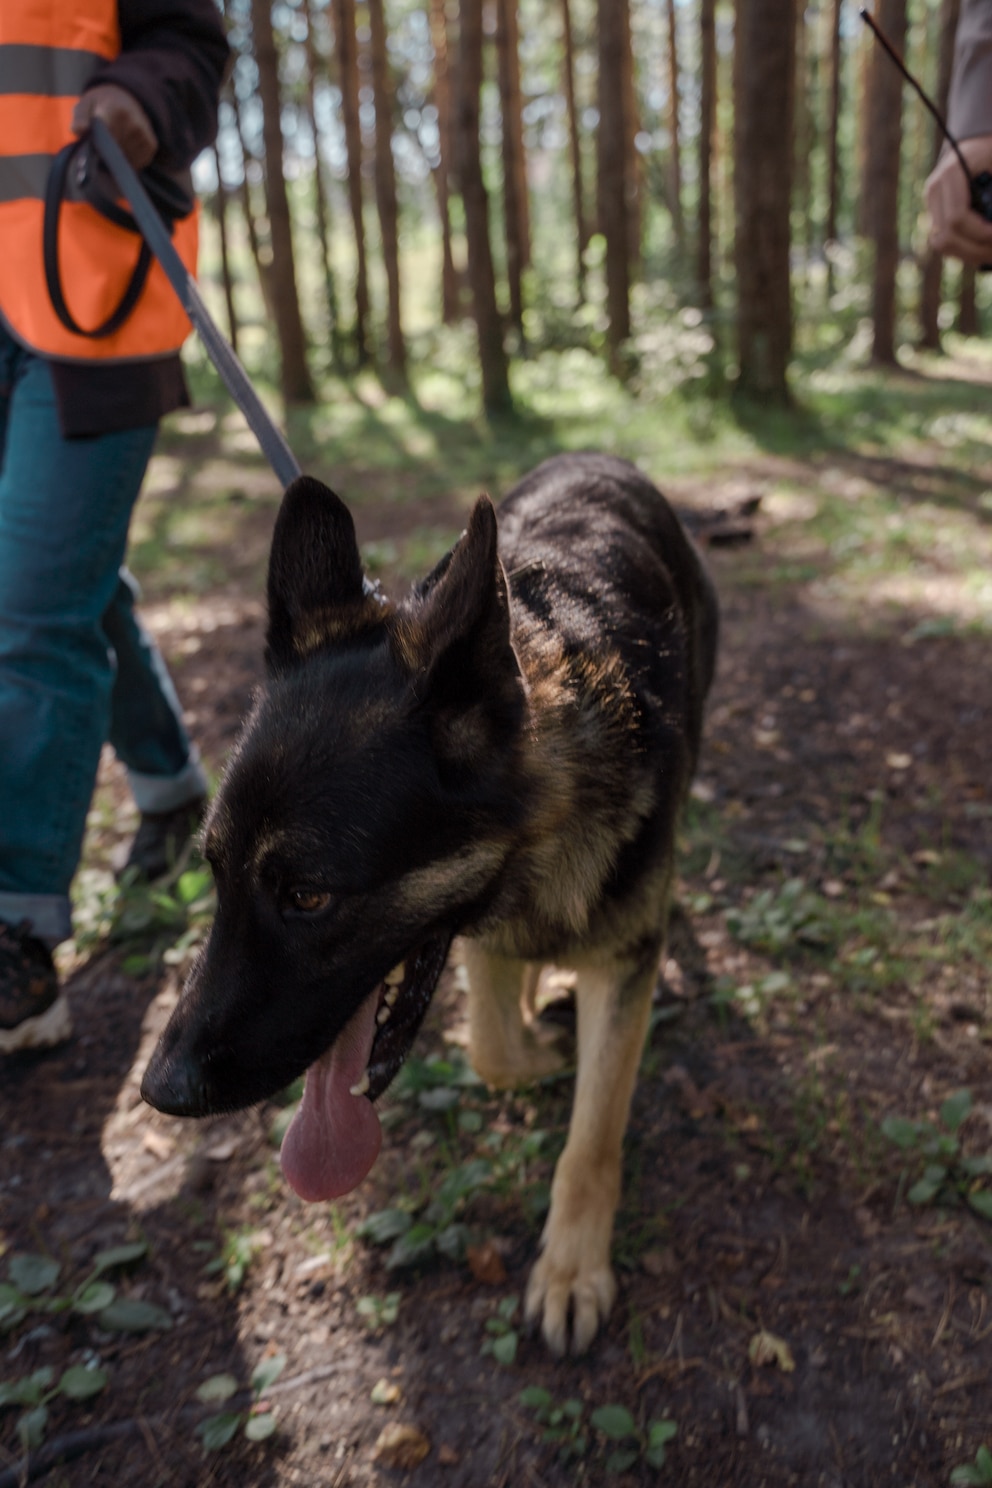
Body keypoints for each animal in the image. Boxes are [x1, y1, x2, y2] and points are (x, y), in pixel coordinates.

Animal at [143, 446, 716, 1357]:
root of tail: (596, 455)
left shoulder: (627, 957)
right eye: (216, 871)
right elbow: (491, 1046)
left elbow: (592, 1135)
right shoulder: (476, 936)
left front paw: (571, 1271)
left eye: (308, 895)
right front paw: (541, 1042)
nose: (160, 1090)